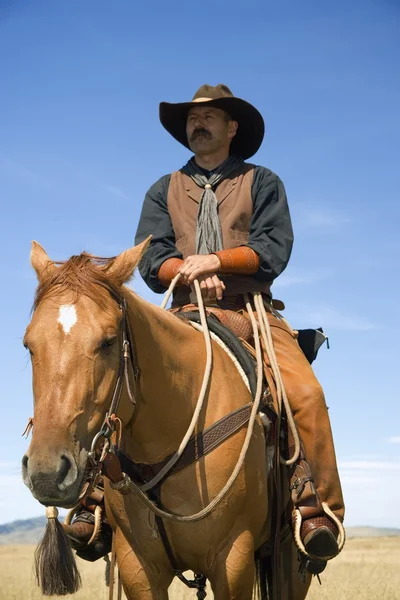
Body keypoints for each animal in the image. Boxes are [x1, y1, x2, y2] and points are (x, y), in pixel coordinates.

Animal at [21, 240, 312, 600]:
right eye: (29, 345)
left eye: (108, 341)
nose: (47, 474)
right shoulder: (138, 566)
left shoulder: (234, 562)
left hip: (290, 561)